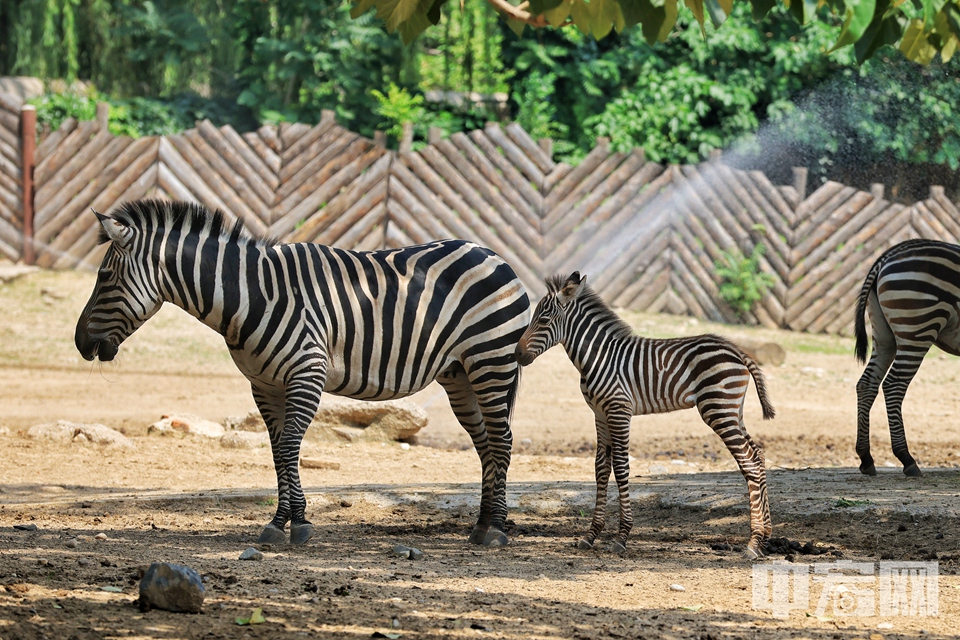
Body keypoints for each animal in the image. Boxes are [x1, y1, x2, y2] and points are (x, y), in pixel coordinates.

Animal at [75, 200, 532, 544]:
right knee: (484, 442)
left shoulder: (307, 373)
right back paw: (482, 524)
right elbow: (278, 450)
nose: (80, 344)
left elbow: (292, 445)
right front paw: (290, 521)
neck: (250, 296)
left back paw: (496, 529)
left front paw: (289, 523)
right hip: (460, 373)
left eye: (105, 276)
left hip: (491, 360)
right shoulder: (264, 385)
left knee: (503, 439)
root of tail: (493, 255)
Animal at [512, 272, 776, 556]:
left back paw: (753, 542)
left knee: (749, 463)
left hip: (718, 410)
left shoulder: (619, 410)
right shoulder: (600, 414)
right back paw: (764, 538)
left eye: (544, 320)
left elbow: (621, 467)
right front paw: (591, 535)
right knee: (757, 456)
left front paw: (622, 537)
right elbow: (600, 468)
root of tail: (736, 350)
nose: (516, 354)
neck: (599, 357)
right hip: (734, 412)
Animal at [856, 238, 960, 478]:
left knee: (867, 383)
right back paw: (907, 459)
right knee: (894, 385)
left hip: (884, 335)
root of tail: (888, 255)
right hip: (918, 328)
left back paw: (866, 458)